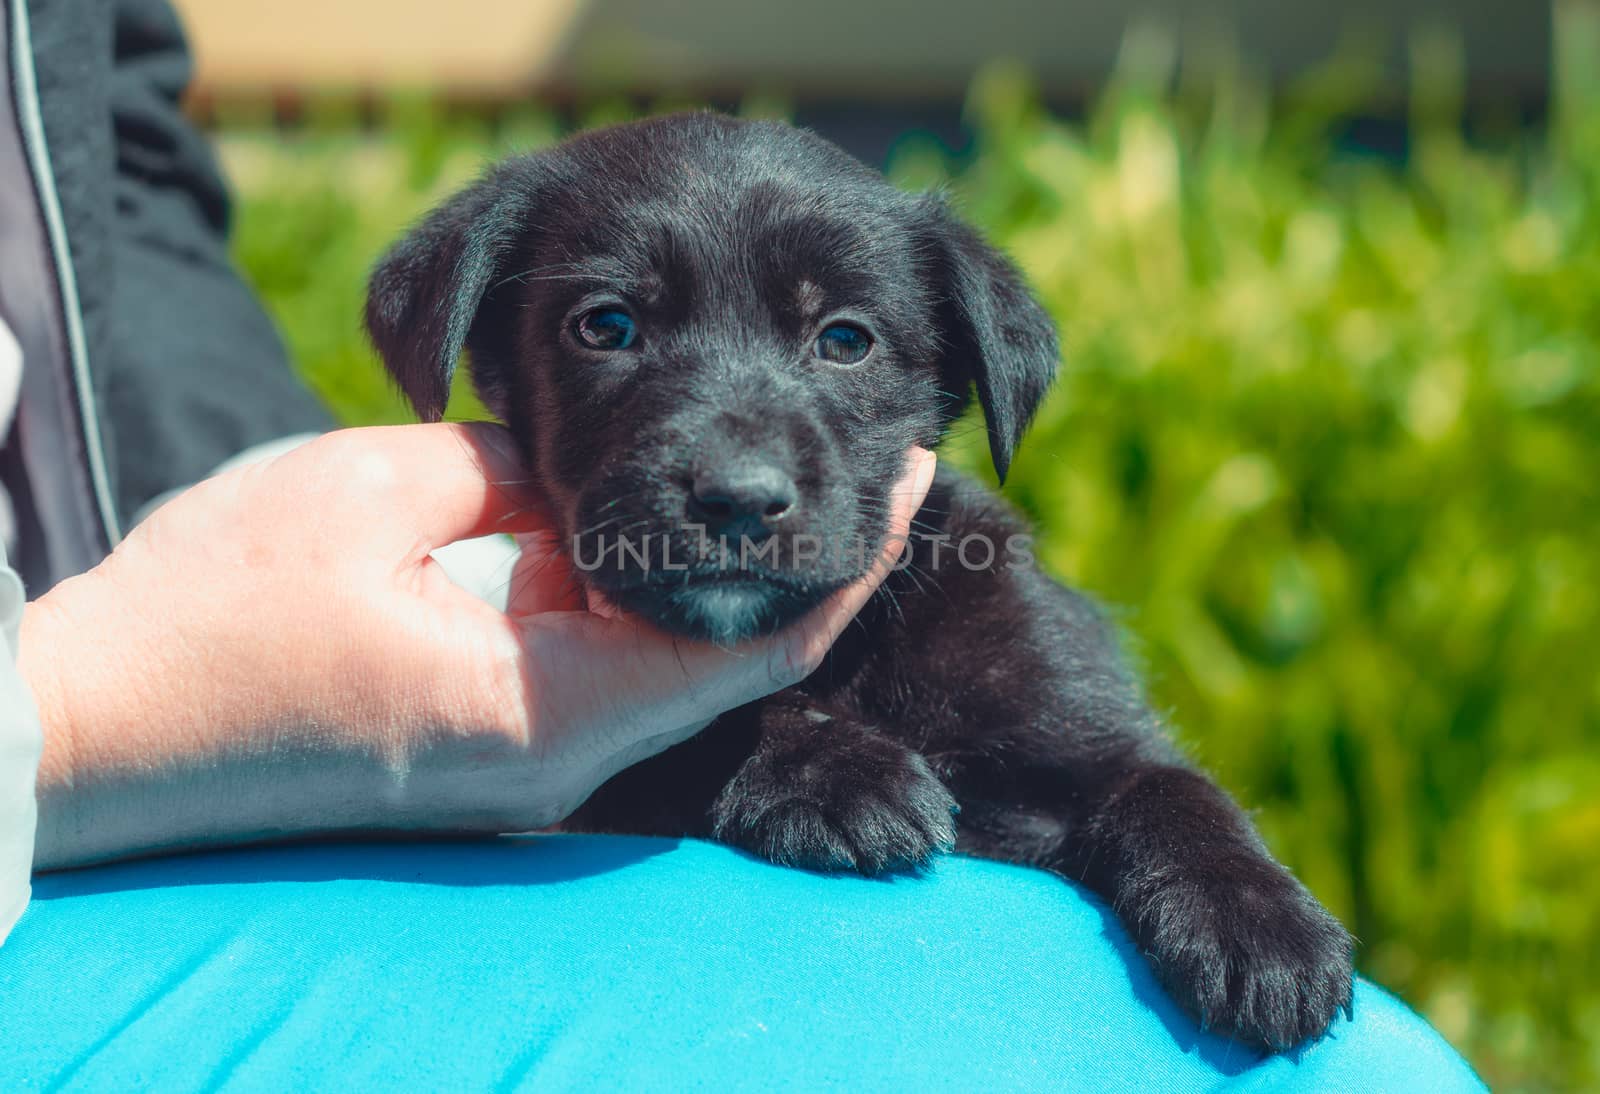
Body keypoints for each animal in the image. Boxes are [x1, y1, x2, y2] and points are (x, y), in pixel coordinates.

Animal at [363, 111, 1350, 1049]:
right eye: (605, 327)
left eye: (845, 341)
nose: (738, 499)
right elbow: (692, 730)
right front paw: (841, 772)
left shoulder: (1075, 717)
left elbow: (1172, 787)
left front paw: (1263, 928)